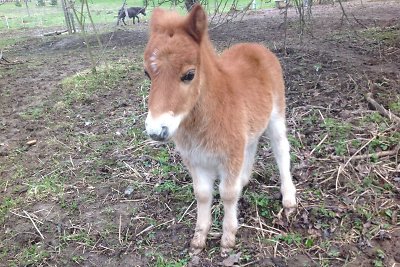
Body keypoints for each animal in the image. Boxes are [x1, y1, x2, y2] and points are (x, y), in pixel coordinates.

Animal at [142, 3, 296, 255]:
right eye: (147, 73)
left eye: (189, 74)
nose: (157, 130)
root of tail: (256, 46)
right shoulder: (195, 160)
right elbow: (203, 194)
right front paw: (198, 239)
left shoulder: (229, 156)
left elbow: (227, 193)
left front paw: (227, 239)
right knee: (251, 145)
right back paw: (244, 180)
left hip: (276, 115)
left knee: (281, 148)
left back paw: (289, 199)